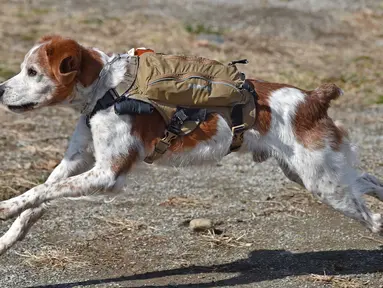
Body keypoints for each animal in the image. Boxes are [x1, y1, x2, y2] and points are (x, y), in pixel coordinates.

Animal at [0, 36, 383, 254]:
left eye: (32, 72)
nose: (0, 89)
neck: (106, 90)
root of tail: (313, 99)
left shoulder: (108, 174)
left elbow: (42, 192)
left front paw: (5, 207)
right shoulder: (77, 162)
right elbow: (40, 195)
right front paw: (7, 238)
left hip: (323, 184)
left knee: (372, 216)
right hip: (309, 175)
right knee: (368, 181)